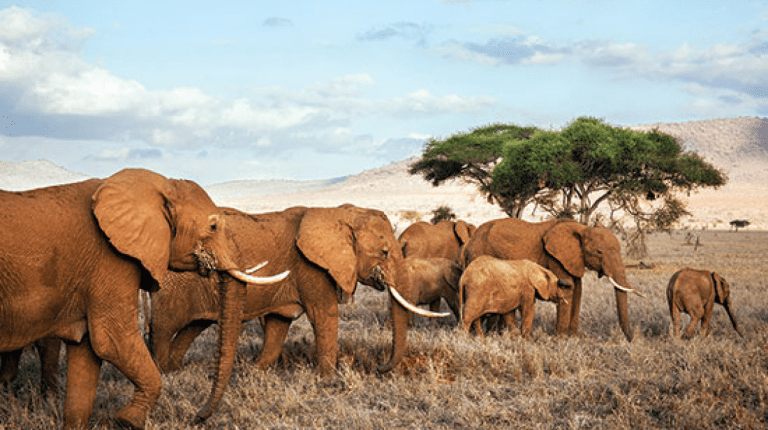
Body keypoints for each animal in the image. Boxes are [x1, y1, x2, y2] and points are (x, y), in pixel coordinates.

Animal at [0, 168, 286, 429]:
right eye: (213, 226)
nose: (197, 417)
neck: (156, 185)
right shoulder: (112, 260)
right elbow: (111, 340)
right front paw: (126, 420)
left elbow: (87, 352)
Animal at [148, 204, 446, 423]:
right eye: (384, 252)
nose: (380, 367)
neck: (340, 213)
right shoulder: (312, 268)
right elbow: (324, 314)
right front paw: (329, 381)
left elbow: (280, 324)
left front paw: (256, 371)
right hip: (170, 288)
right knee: (164, 328)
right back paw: (163, 372)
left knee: (192, 327)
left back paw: (175, 369)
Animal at [459, 218, 642, 342]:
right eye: (599, 252)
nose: (632, 340)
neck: (582, 228)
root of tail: (469, 243)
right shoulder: (555, 258)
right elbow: (570, 290)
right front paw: (561, 340)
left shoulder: (574, 260)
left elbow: (578, 290)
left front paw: (573, 339)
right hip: (479, 256)